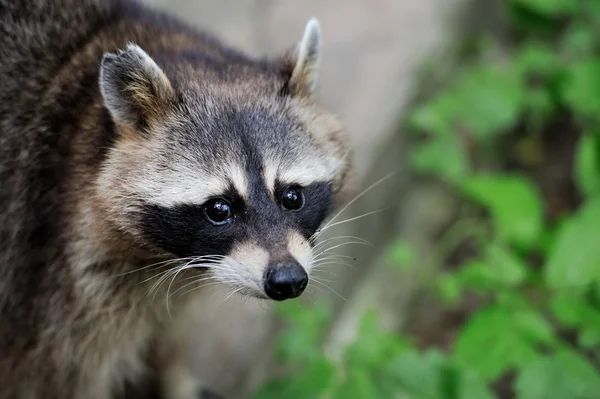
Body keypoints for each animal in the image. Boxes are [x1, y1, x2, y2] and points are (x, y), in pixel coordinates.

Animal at [0, 0, 354, 398]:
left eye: (292, 197)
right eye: (219, 209)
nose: (288, 279)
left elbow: (169, 333)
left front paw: (173, 375)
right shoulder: (52, 280)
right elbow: (59, 377)